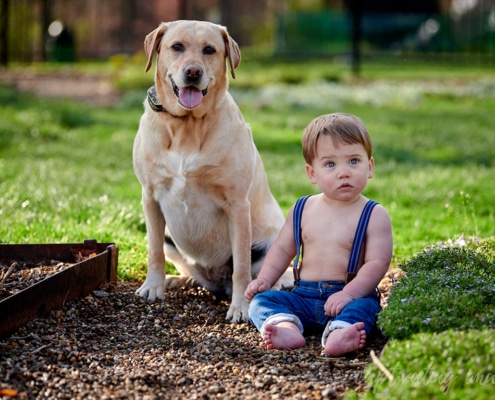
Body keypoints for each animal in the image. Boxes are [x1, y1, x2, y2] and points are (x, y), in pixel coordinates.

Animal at [134, 20, 290, 324]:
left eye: (209, 50)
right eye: (177, 46)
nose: (193, 72)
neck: (187, 126)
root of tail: (216, 280)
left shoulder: (237, 205)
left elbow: (241, 266)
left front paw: (240, 307)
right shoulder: (150, 197)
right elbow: (154, 251)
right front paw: (153, 287)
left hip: (274, 238)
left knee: (267, 275)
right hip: (172, 239)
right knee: (189, 271)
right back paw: (176, 280)